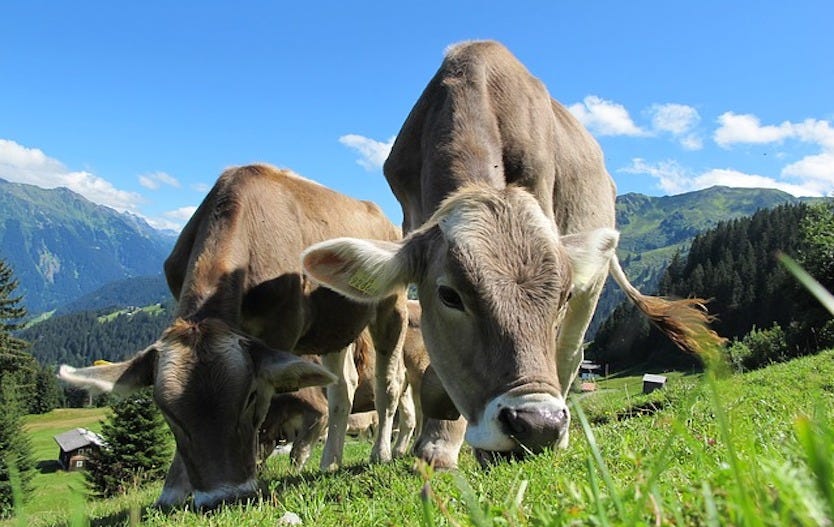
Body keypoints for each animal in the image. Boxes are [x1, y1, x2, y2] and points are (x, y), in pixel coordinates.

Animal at [58, 166, 406, 512]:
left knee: (389, 383)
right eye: (167, 412)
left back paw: (381, 453)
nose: (223, 497)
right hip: (334, 328)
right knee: (343, 388)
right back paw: (330, 462)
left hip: (391, 306)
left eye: (249, 397)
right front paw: (173, 491)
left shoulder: (279, 333)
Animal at [300, 42, 720, 470]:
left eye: (562, 296)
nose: (538, 424)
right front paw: (438, 444)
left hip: (594, 282)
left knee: (570, 352)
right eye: (449, 295)